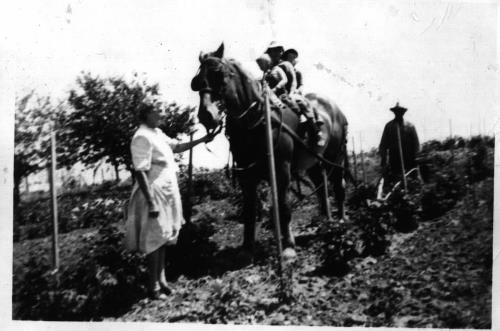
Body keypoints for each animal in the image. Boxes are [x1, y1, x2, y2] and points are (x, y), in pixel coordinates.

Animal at [189, 42, 350, 258]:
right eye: (196, 81)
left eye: (218, 73)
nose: (206, 115)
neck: (257, 119)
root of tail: (336, 110)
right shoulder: (246, 174)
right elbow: (250, 210)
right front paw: (247, 248)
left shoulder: (281, 168)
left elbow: (283, 206)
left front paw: (288, 247)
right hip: (313, 163)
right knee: (320, 188)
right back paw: (325, 223)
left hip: (336, 157)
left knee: (339, 187)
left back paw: (340, 221)